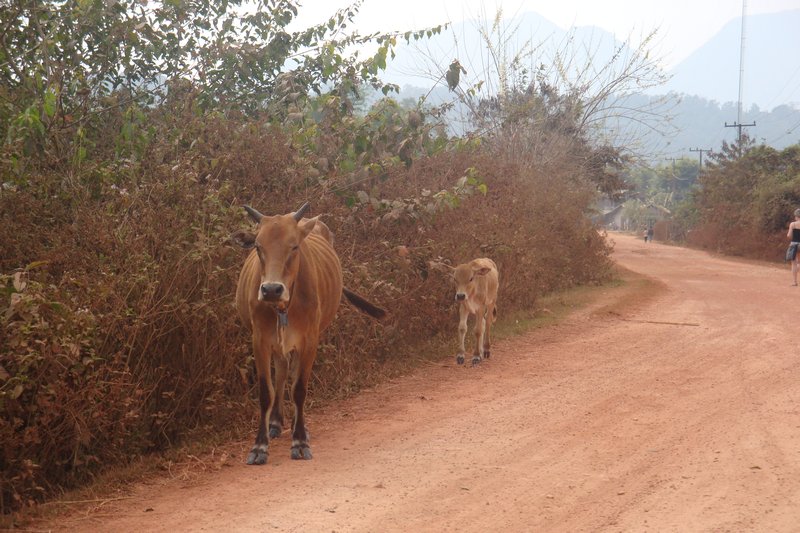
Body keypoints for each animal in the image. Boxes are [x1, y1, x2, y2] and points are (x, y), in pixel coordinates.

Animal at [230, 202, 386, 464]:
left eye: (294, 246)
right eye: (258, 247)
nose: (271, 289)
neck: (284, 306)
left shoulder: (310, 340)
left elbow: (300, 389)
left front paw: (300, 440)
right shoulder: (260, 340)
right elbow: (265, 391)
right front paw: (259, 446)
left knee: (291, 376)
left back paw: (294, 424)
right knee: (282, 372)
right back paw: (275, 422)